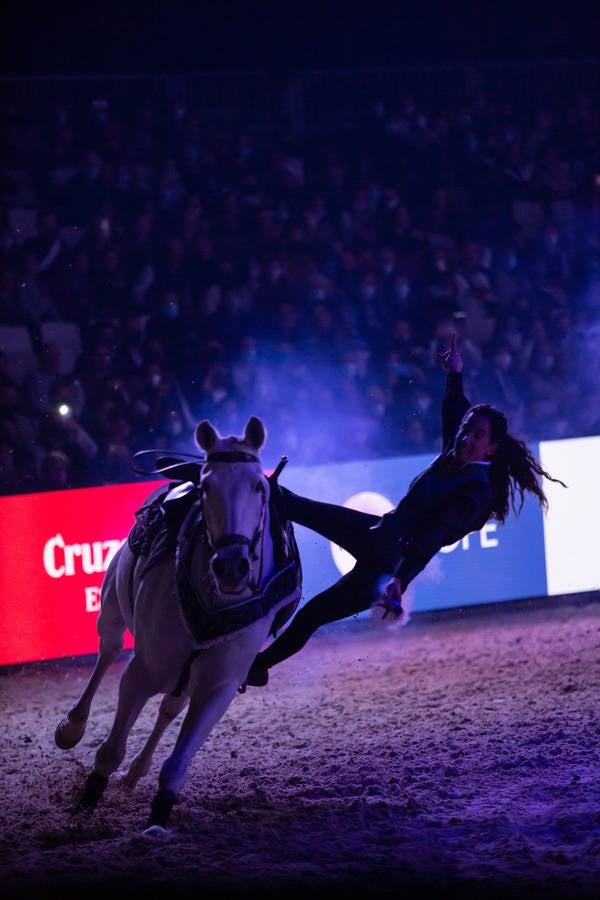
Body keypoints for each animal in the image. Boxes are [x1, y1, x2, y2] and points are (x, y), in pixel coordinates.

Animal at [55, 416, 300, 828]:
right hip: (111, 609)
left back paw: (136, 773)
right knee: (108, 652)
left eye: (259, 486)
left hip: (184, 677)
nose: (231, 566)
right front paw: (88, 800)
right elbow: (110, 751)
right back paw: (72, 727)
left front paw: (159, 813)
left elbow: (175, 765)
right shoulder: (142, 670)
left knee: (169, 709)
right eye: (206, 486)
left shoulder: (218, 686)